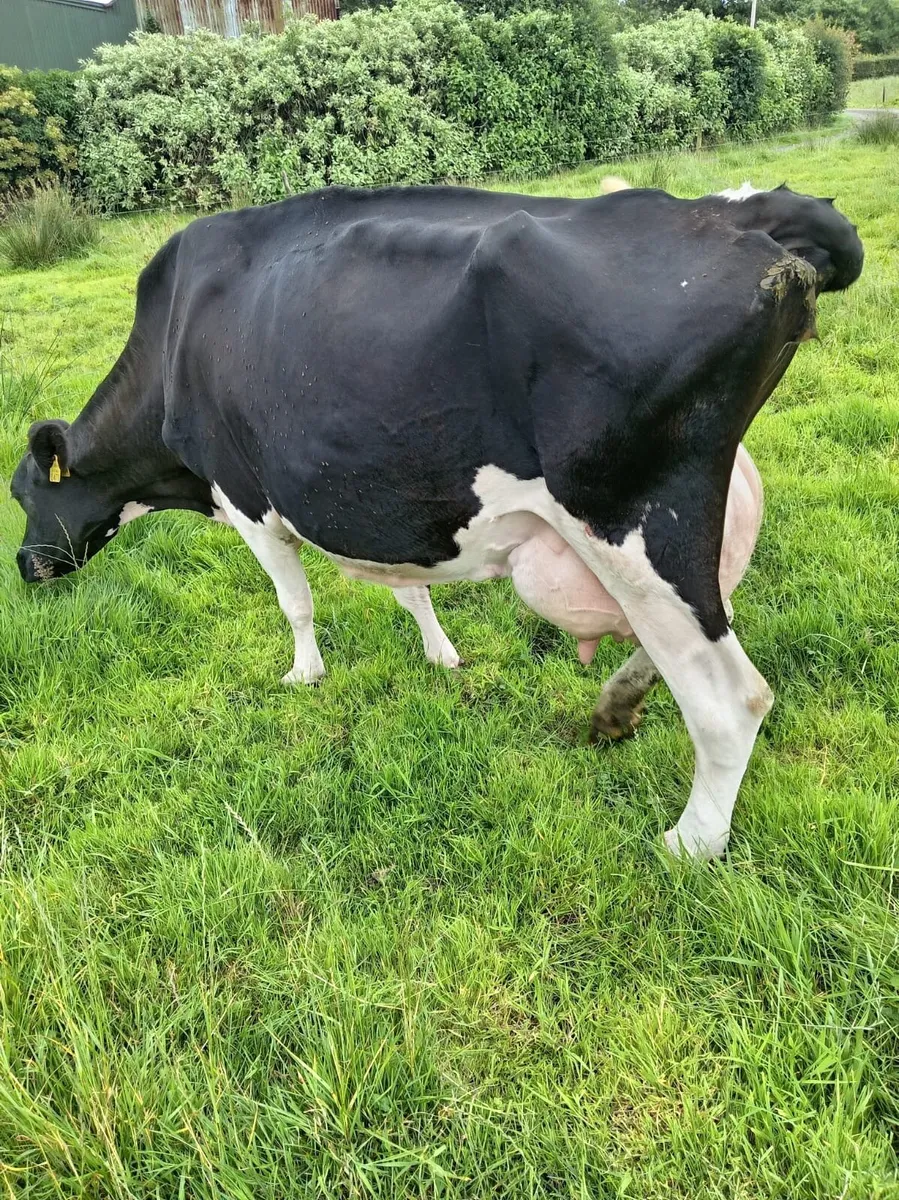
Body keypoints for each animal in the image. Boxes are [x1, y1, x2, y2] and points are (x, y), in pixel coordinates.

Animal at [11, 181, 863, 858]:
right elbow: (408, 588)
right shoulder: (382, 503)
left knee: (727, 698)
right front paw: (441, 655)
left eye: (23, 494)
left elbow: (295, 602)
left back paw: (689, 843)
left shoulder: (248, 498)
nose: (25, 566)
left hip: (626, 520)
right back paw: (617, 706)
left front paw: (303, 674)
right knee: (702, 627)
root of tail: (732, 209)